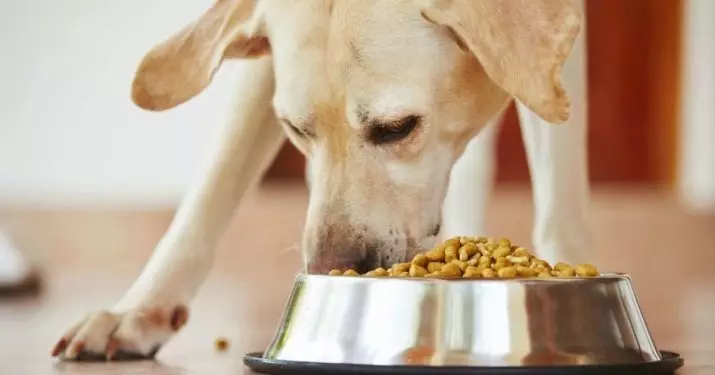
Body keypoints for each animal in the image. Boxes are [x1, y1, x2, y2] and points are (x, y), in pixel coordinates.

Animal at [50, 0, 588, 362]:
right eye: (295, 129)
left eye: (398, 127)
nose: (330, 269)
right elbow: (215, 181)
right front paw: (140, 310)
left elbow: (559, 196)